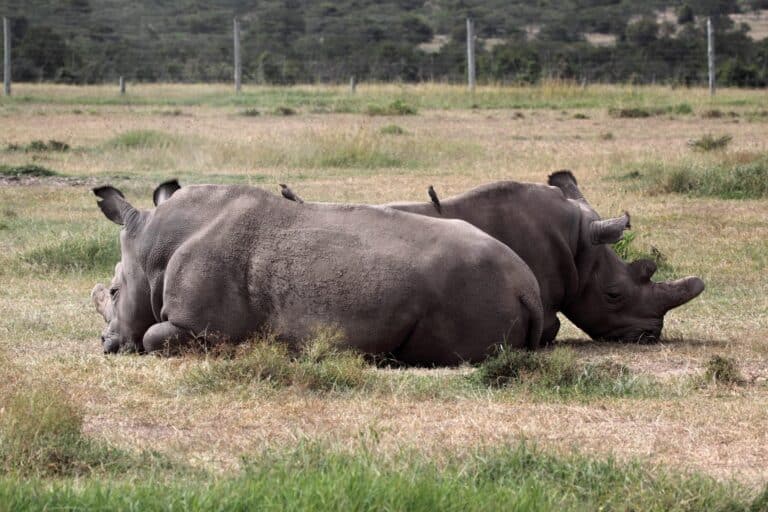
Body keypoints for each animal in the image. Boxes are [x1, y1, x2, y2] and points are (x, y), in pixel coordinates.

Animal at [91, 183, 543, 364]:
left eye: (113, 292)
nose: (106, 343)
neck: (153, 248)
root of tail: (528, 287)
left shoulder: (200, 327)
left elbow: (152, 336)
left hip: (470, 286)